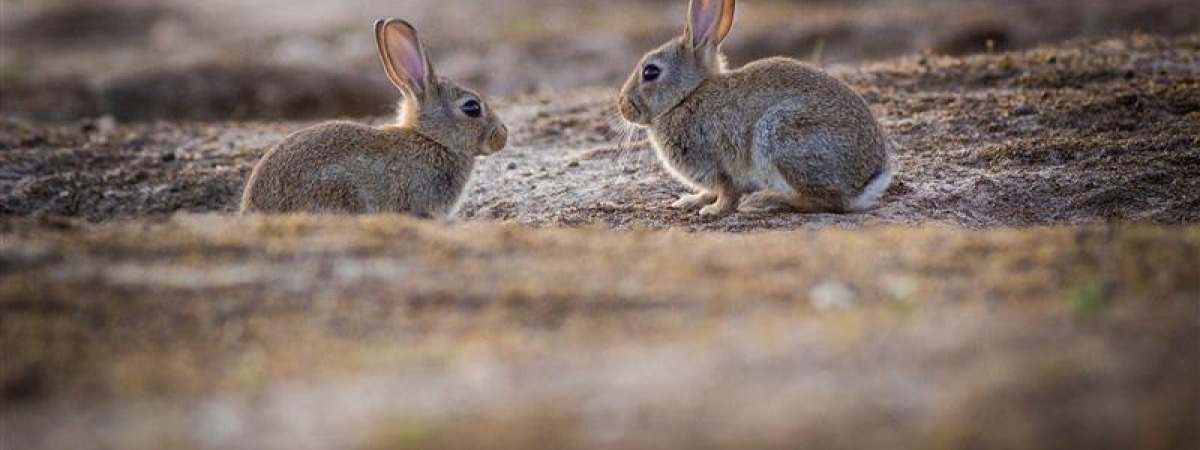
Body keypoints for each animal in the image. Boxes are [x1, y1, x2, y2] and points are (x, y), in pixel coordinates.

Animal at [616, 0, 892, 217]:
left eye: (650, 72)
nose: (622, 106)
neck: (687, 96)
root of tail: (867, 182)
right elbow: (709, 191)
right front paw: (689, 201)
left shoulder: (720, 162)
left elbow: (727, 192)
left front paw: (713, 210)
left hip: (780, 135)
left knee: (828, 201)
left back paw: (761, 201)